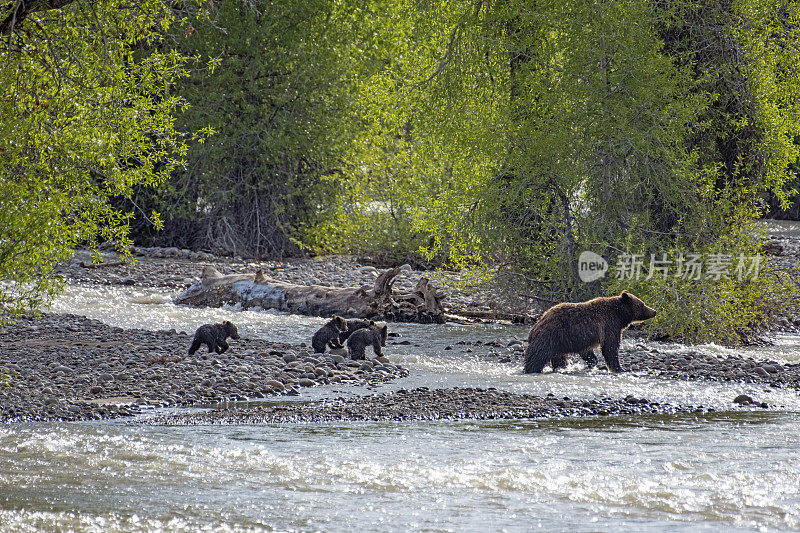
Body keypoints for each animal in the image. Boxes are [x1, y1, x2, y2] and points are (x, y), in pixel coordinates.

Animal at [524, 288, 656, 372]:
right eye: (642, 304)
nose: (654, 311)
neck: (620, 315)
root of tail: (537, 324)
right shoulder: (610, 325)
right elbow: (610, 347)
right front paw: (619, 368)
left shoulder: (584, 338)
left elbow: (588, 352)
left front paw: (593, 362)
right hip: (550, 336)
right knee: (537, 356)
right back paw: (531, 369)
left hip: (558, 342)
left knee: (559, 358)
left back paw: (561, 368)